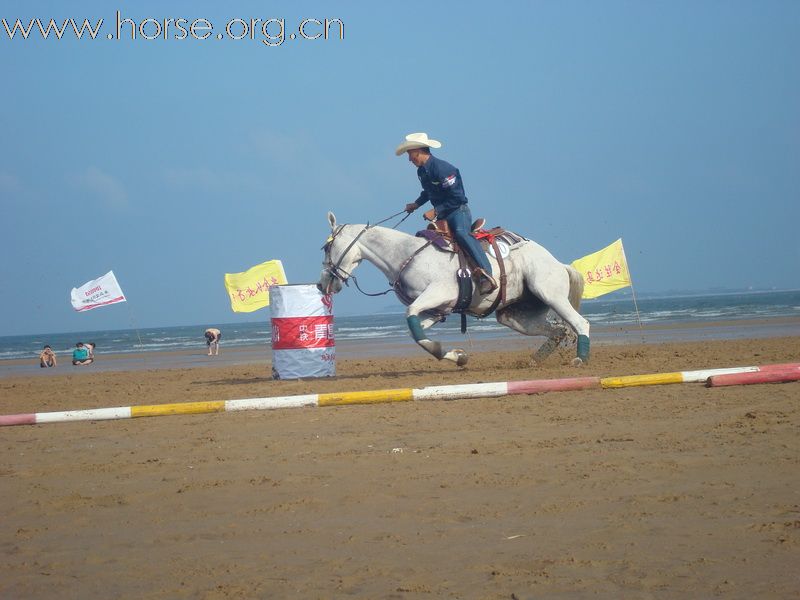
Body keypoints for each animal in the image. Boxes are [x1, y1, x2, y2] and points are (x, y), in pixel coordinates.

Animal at [318, 213, 588, 368]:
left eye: (326, 247)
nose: (322, 284)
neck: (406, 255)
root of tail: (558, 264)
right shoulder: (437, 310)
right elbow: (417, 333)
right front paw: (456, 356)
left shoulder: (437, 294)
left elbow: (411, 318)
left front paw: (451, 354)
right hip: (516, 316)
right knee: (559, 330)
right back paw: (533, 361)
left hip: (549, 294)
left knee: (579, 323)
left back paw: (580, 359)